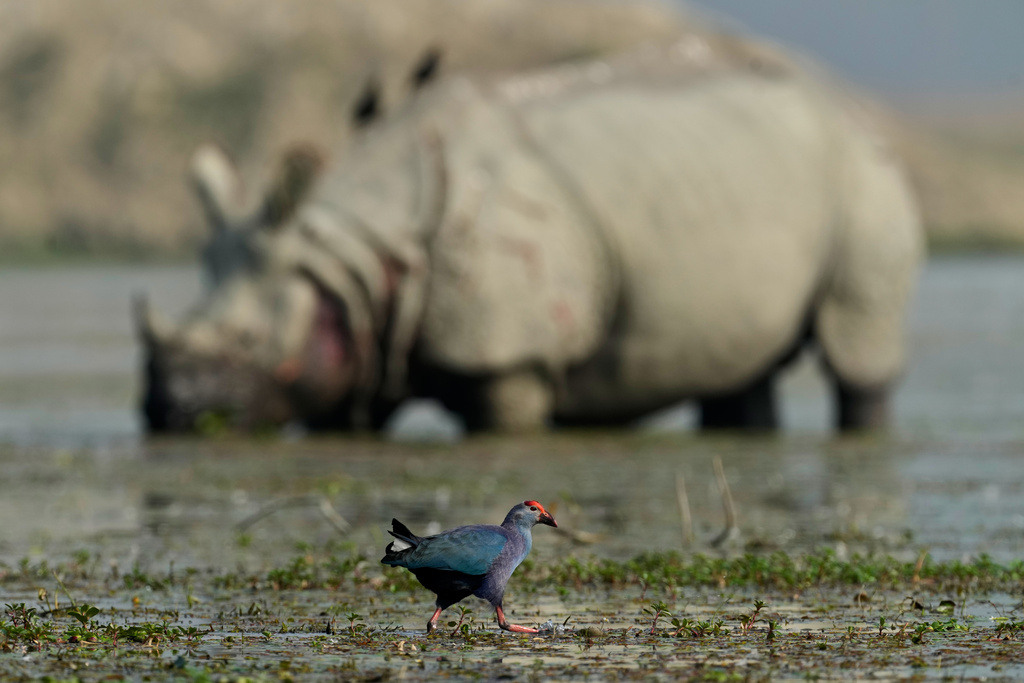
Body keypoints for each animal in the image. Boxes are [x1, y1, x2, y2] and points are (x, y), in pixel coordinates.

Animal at [138, 32, 922, 434]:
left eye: (249, 343)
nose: (168, 410)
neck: (350, 243)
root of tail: (840, 100)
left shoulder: (507, 351)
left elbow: (505, 418)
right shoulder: (357, 327)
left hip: (865, 177)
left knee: (858, 345)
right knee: (738, 365)